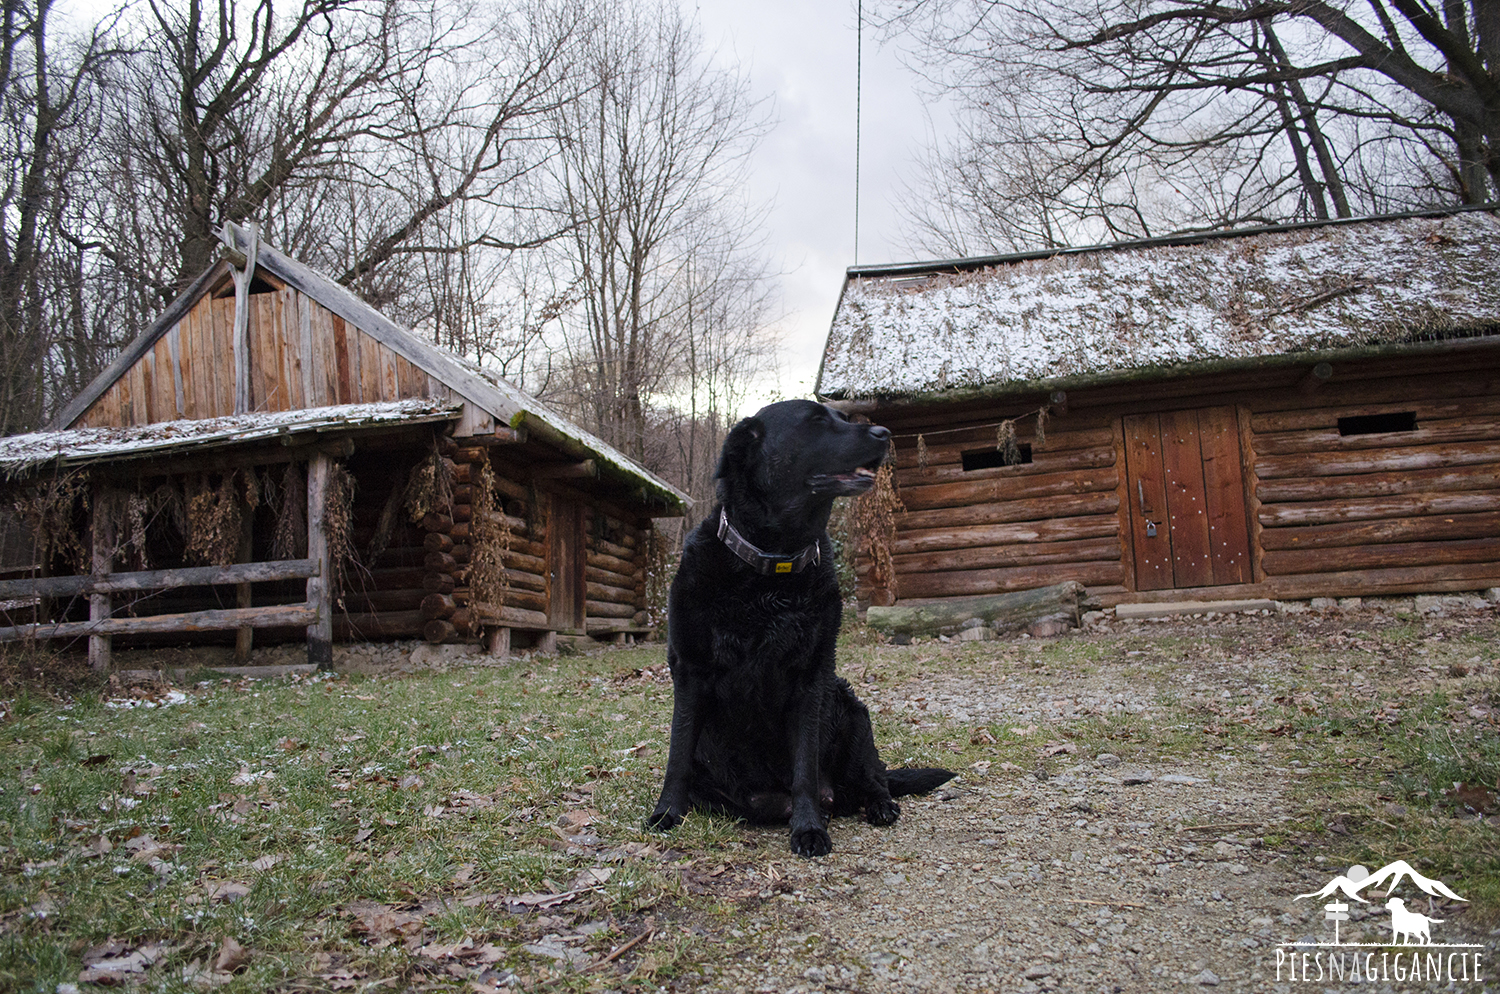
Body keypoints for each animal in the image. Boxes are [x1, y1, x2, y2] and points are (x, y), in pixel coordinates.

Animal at [645, 401, 948, 857]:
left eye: (841, 417)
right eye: (816, 421)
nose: (884, 432)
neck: (773, 571)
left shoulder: (811, 679)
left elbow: (804, 766)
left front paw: (808, 828)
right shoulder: (691, 672)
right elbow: (676, 756)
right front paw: (666, 814)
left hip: (850, 709)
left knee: (873, 777)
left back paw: (877, 805)